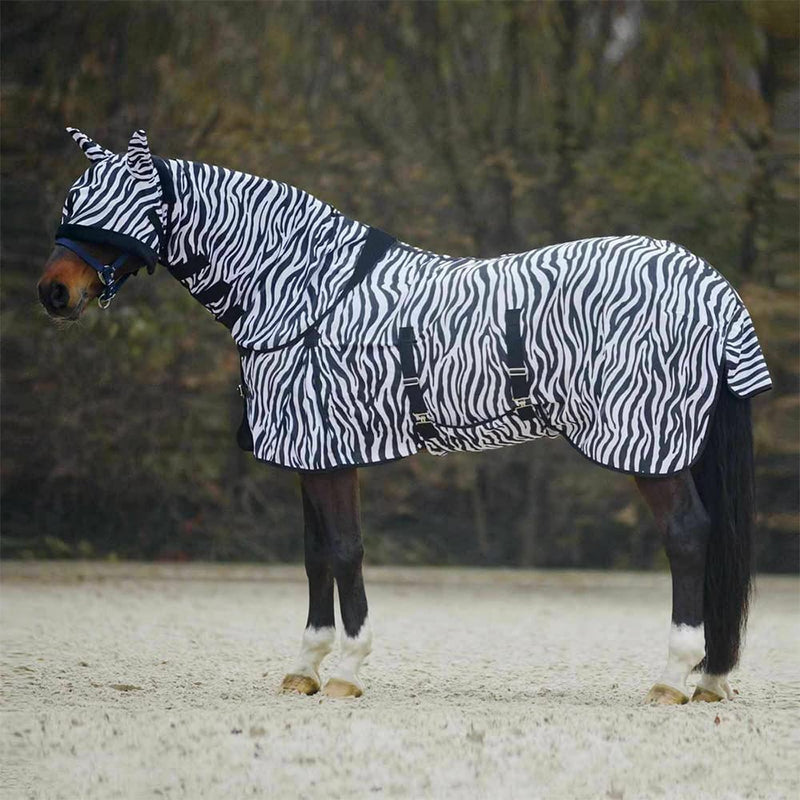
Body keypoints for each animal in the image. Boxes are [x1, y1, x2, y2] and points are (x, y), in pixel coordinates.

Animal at [38, 128, 771, 703]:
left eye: (119, 208)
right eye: (72, 202)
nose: (53, 293)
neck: (304, 293)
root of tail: (711, 286)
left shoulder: (331, 449)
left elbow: (345, 550)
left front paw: (347, 671)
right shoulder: (311, 454)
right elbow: (315, 555)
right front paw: (305, 668)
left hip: (651, 445)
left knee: (687, 536)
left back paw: (674, 678)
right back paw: (710, 678)